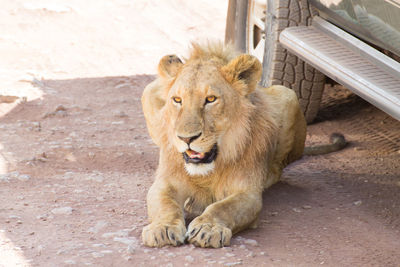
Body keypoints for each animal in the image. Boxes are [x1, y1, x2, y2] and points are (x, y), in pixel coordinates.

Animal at [140, 42, 340, 249]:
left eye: (211, 99)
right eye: (177, 100)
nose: (186, 138)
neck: (208, 170)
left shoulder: (247, 193)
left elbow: (222, 207)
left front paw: (208, 228)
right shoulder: (166, 182)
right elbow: (165, 204)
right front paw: (163, 228)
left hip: (288, 95)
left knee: (277, 169)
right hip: (149, 89)